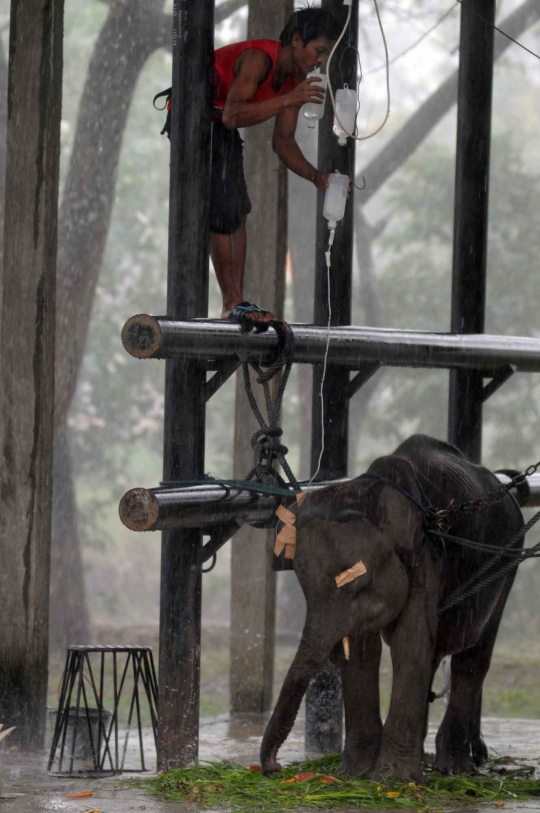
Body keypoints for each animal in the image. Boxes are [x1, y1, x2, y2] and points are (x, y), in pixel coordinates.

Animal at [262, 434, 524, 784]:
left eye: (358, 585)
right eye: (302, 585)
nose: (274, 767)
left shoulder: (425, 554)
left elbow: (408, 643)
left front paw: (392, 780)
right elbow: (362, 652)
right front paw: (354, 774)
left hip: (507, 560)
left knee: (473, 656)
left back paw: (454, 769)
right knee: (438, 656)